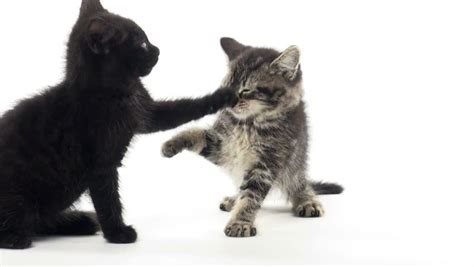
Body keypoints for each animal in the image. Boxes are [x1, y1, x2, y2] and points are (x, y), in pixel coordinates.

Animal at [0, 0, 237, 251]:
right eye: (141, 42)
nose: (158, 50)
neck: (116, 92)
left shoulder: (146, 113)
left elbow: (183, 109)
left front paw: (222, 96)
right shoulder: (101, 165)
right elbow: (108, 200)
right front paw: (118, 233)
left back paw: (79, 221)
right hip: (19, 195)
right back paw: (17, 237)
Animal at [161, 38, 342, 239]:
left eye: (245, 90)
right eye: (226, 89)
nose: (229, 103)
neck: (249, 124)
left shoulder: (268, 161)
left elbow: (251, 194)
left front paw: (240, 222)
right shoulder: (224, 148)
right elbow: (198, 134)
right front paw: (172, 143)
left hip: (295, 161)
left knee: (299, 182)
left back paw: (307, 200)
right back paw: (233, 199)